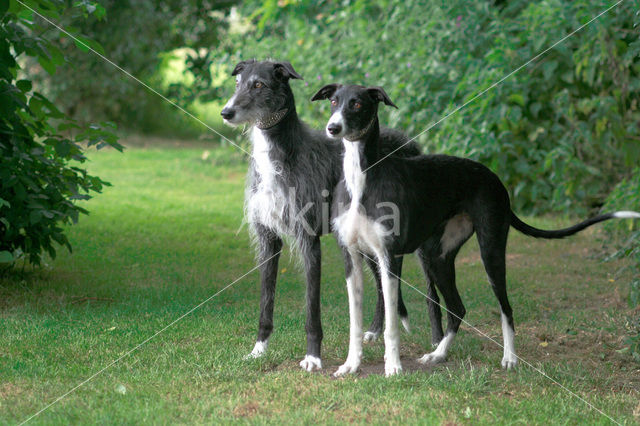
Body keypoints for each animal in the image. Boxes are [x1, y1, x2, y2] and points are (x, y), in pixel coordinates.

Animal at [221, 60, 436, 372]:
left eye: (259, 84)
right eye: (238, 82)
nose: (226, 112)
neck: (282, 152)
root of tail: (409, 141)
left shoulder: (309, 240)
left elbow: (312, 308)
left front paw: (312, 357)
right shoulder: (268, 240)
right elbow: (266, 301)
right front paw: (259, 349)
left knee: (430, 290)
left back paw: (435, 342)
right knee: (381, 284)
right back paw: (374, 331)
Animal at [312, 83, 636, 376]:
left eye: (357, 103)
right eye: (333, 101)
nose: (332, 128)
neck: (362, 178)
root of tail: (494, 178)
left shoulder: (390, 259)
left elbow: (392, 323)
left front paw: (393, 367)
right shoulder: (352, 259)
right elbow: (355, 322)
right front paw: (350, 365)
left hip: (490, 250)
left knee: (506, 308)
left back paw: (510, 358)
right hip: (437, 257)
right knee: (457, 309)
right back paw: (438, 354)